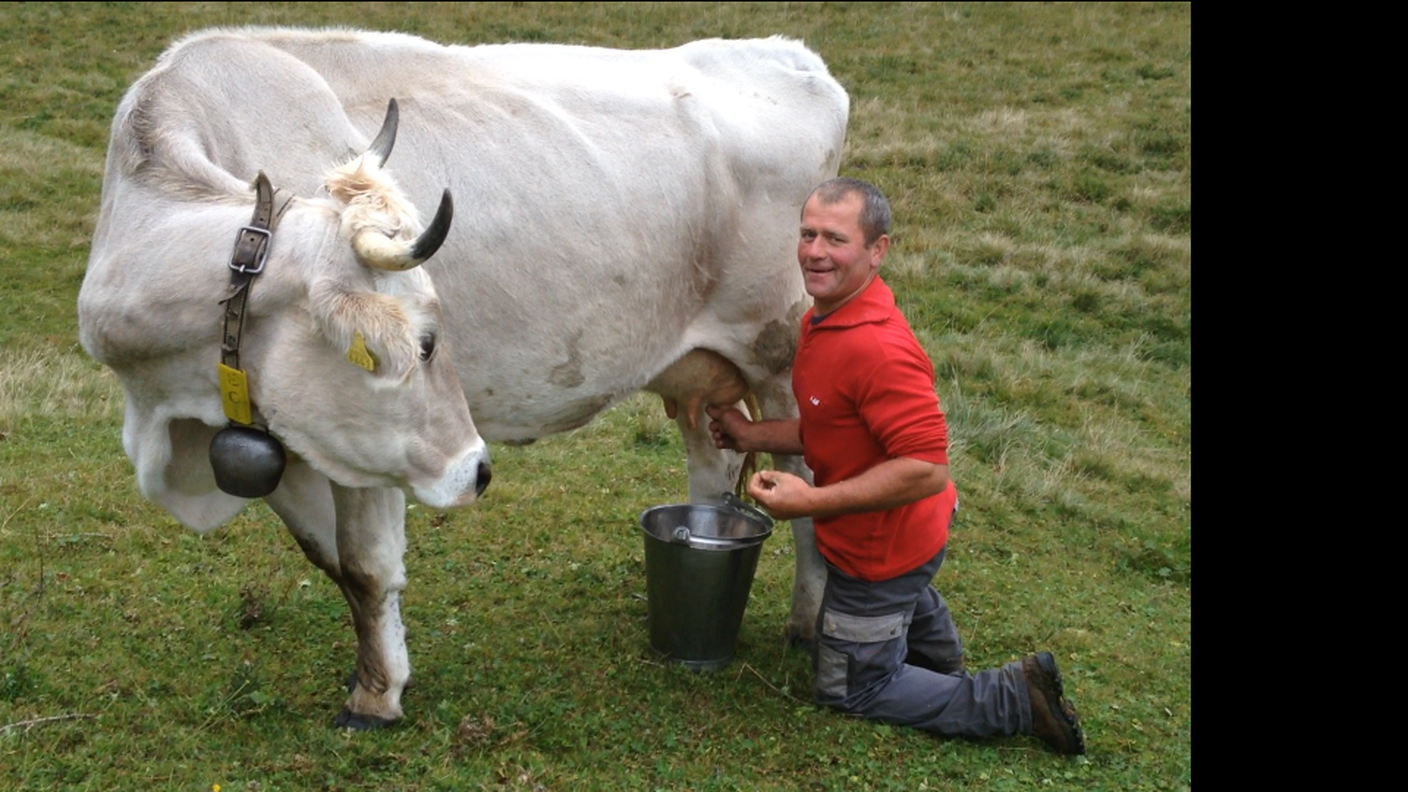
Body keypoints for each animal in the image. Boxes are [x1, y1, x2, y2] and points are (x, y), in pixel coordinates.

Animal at [79, 27, 844, 727]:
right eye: (423, 342)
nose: (475, 470)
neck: (170, 417)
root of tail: (790, 54)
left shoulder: (368, 446)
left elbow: (365, 565)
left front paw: (375, 699)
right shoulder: (290, 438)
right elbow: (332, 561)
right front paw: (384, 671)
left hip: (780, 355)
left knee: (809, 487)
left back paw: (810, 628)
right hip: (703, 376)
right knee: (715, 470)